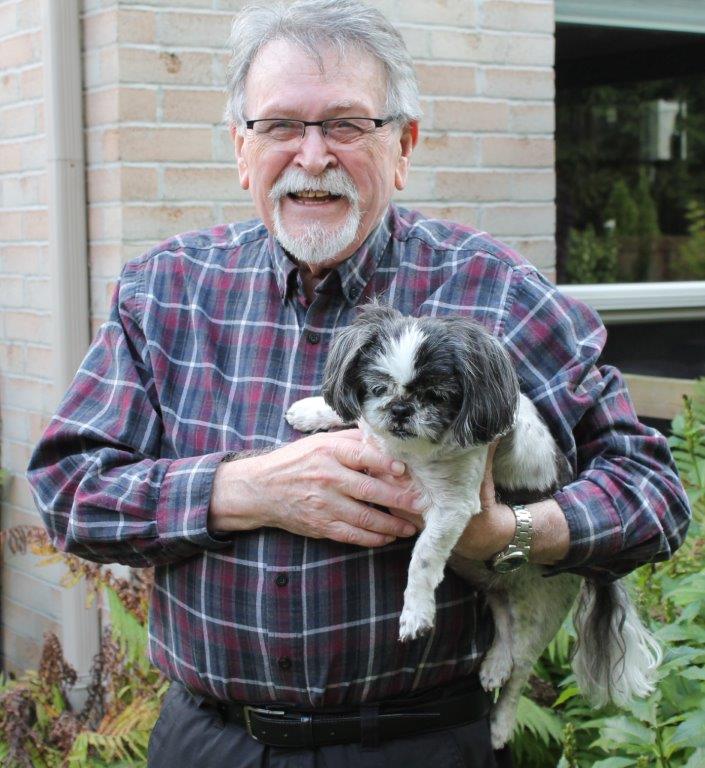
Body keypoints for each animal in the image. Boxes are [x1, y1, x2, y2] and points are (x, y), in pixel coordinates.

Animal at [285, 303, 661, 748]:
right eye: (376, 387)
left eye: (437, 396)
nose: (400, 409)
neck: (412, 452)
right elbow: (357, 419)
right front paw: (313, 410)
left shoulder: (452, 507)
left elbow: (423, 558)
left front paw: (416, 611)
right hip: (491, 584)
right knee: (503, 622)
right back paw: (495, 663)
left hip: (541, 613)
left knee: (521, 669)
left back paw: (500, 724)